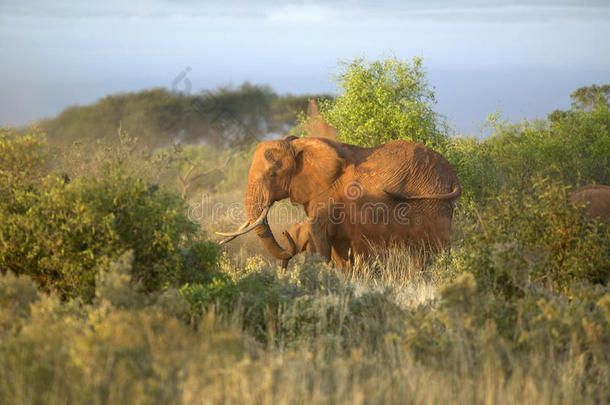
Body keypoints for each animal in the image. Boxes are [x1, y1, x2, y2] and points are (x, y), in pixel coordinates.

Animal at [216, 136, 458, 266]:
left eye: (273, 174)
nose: (285, 233)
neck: (300, 144)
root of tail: (453, 176)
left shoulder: (326, 195)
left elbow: (319, 235)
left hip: (431, 202)